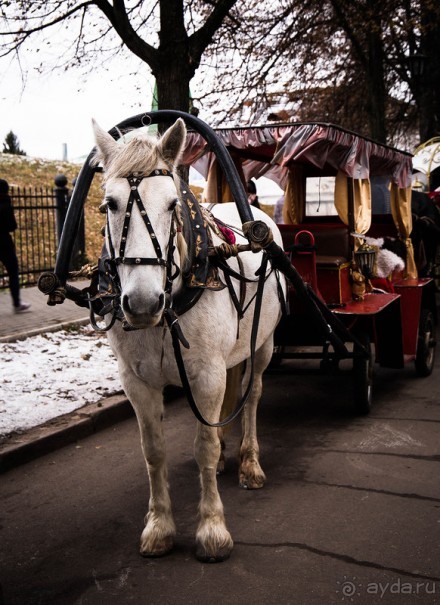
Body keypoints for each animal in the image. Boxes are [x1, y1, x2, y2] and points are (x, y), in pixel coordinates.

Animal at [92, 118, 286, 560]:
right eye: (109, 204)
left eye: (171, 205)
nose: (143, 303)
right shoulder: (137, 381)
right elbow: (153, 450)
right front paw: (159, 526)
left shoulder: (207, 375)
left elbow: (203, 447)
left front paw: (212, 528)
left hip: (263, 344)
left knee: (252, 395)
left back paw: (249, 462)